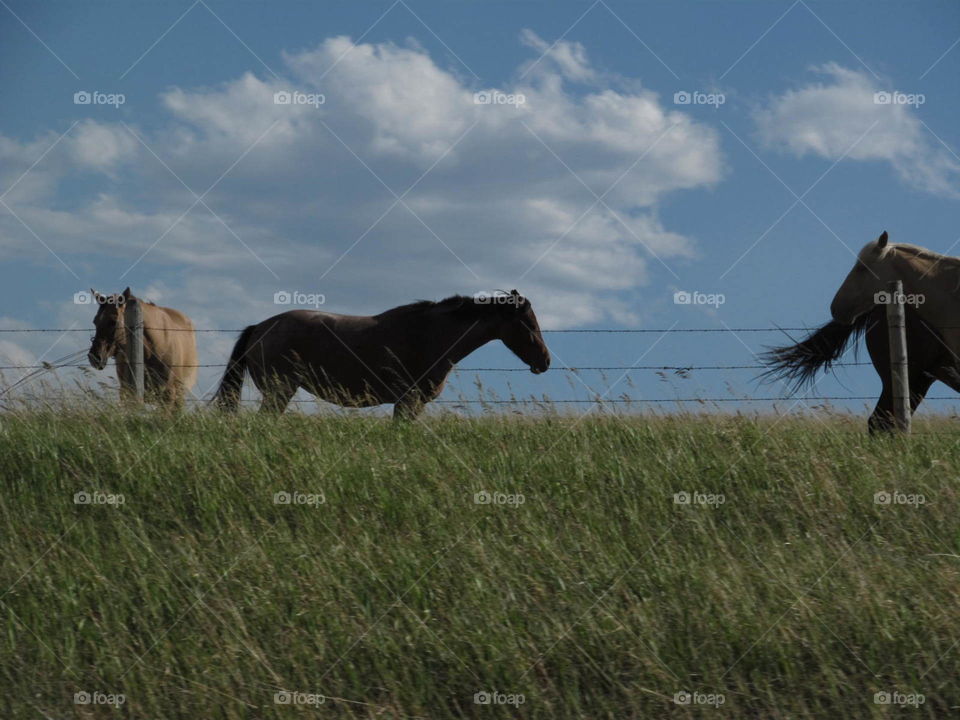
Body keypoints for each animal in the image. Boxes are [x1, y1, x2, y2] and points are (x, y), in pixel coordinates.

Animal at [214, 290, 550, 419]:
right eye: (529, 324)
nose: (545, 361)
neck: (431, 334)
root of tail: (259, 328)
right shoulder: (407, 402)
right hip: (278, 392)